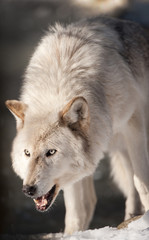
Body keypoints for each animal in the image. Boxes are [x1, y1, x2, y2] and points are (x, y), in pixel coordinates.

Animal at [5, 16, 149, 234]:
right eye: (27, 153)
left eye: (51, 152)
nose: (28, 189)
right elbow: (76, 211)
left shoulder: (134, 124)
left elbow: (142, 183)